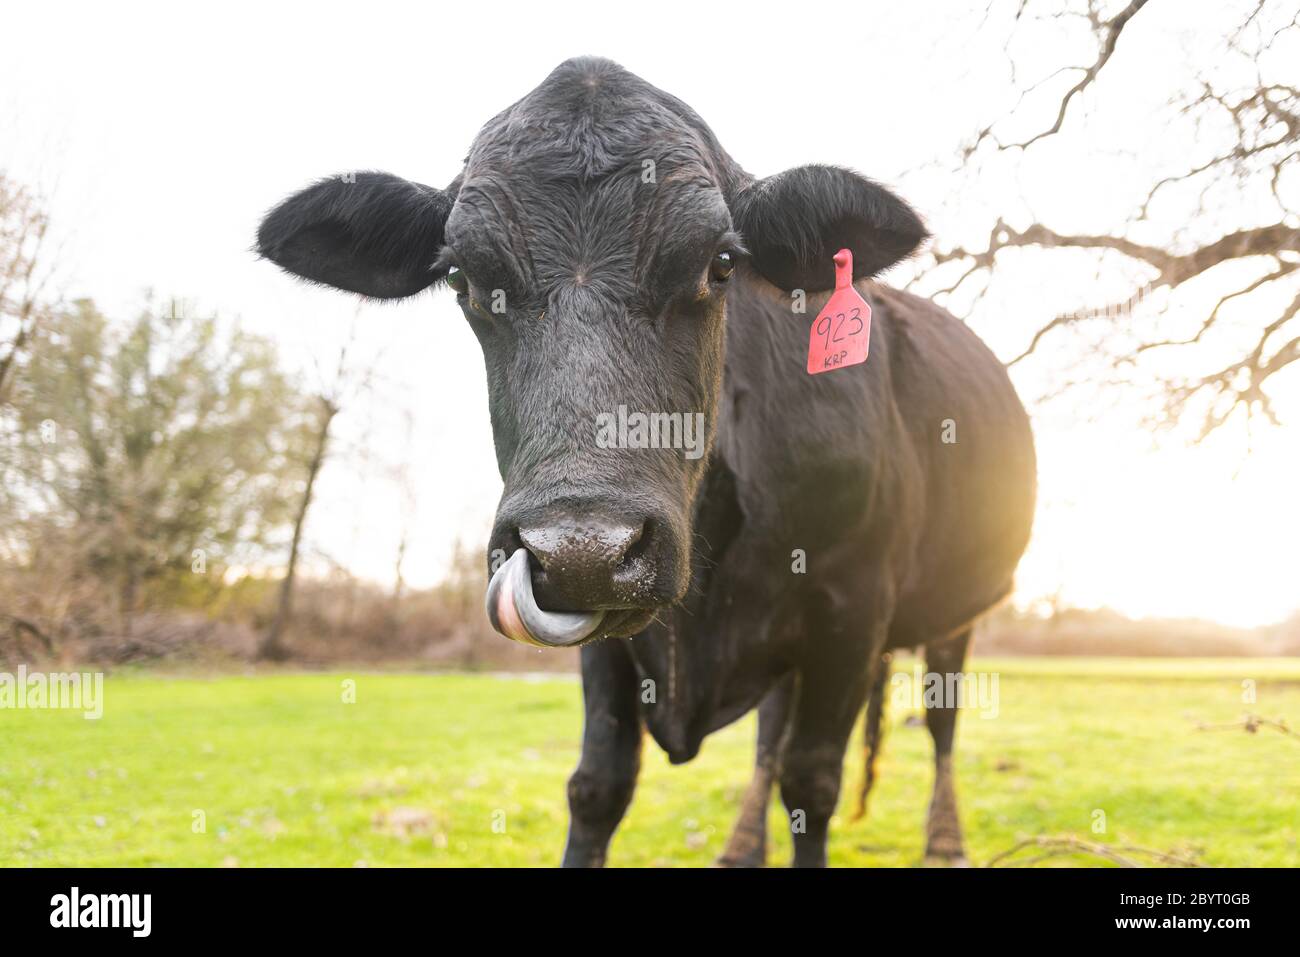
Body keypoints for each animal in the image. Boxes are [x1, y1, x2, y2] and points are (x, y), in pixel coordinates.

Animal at [258, 57, 1034, 868]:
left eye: (722, 262)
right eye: (462, 278)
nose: (583, 551)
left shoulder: (852, 607)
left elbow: (814, 782)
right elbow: (599, 782)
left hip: (955, 613)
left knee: (938, 723)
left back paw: (944, 838)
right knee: (769, 735)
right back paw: (742, 843)